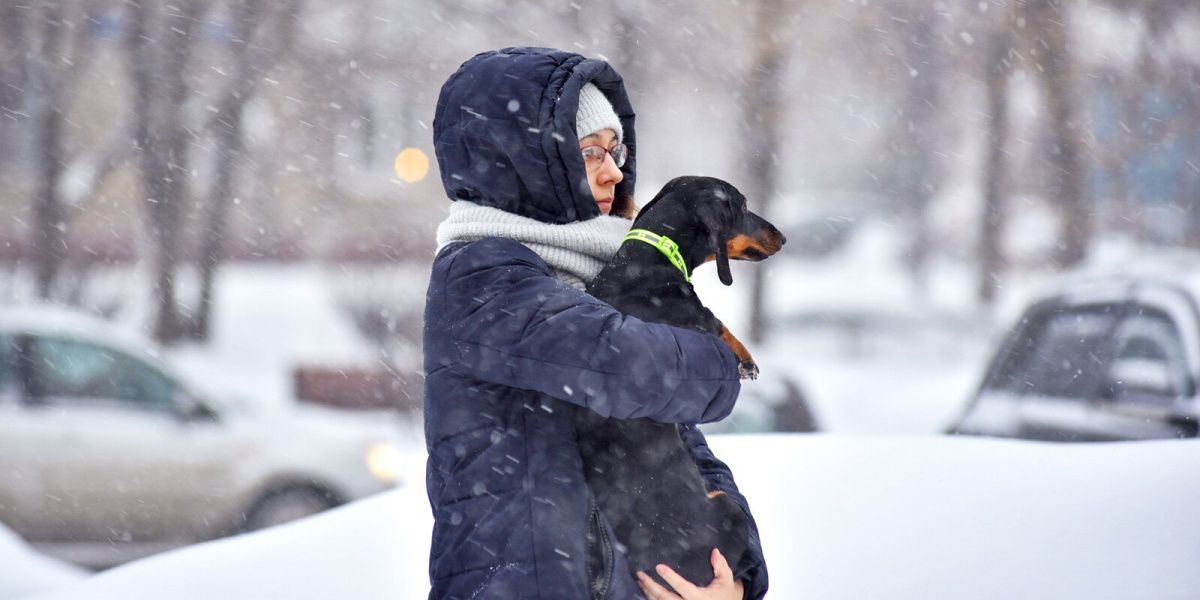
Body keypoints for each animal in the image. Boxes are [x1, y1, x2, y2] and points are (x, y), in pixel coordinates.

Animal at [580, 175, 787, 592]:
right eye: (743, 206)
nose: (783, 237)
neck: (647, 258)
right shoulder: (695, 320)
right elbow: (717, 322)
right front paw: (747, 360)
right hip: (729, 510)